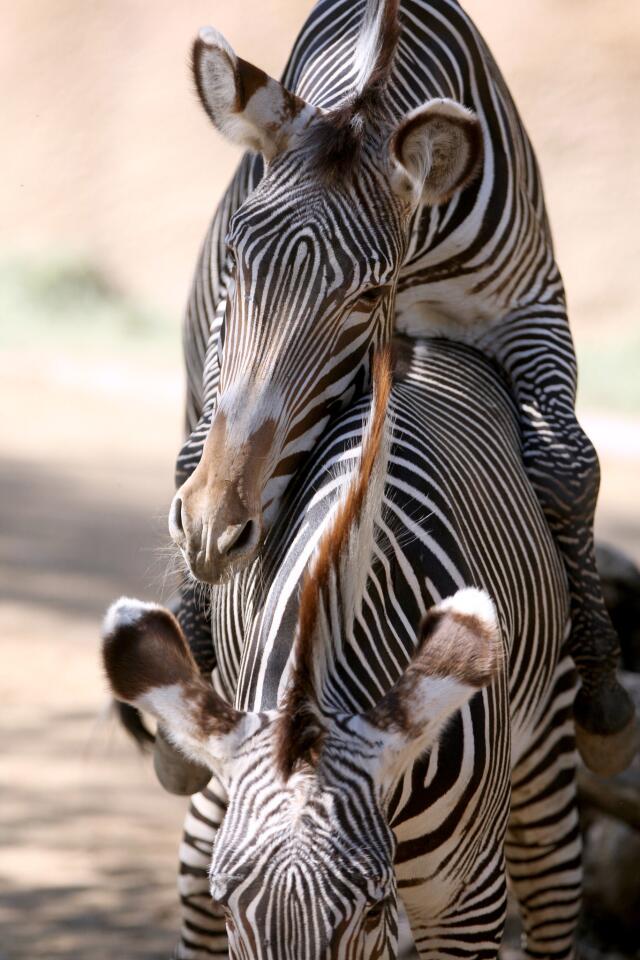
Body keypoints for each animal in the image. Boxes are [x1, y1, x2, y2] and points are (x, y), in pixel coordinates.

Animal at [165, 0, 636, 772]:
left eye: (367, 295)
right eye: (236, 257)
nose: (210, 532)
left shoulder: (531, 301)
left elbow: (569, 464)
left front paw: (602, 697)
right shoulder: (222, 331)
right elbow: (198, 446)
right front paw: (197, 647)